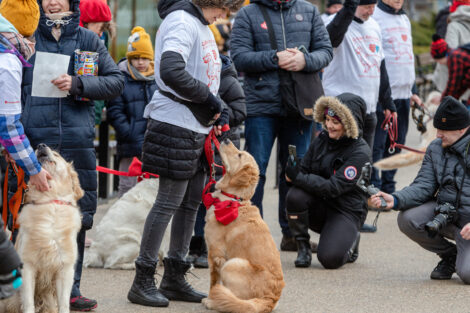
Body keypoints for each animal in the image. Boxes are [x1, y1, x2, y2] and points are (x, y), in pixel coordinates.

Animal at [6, 144, 83, 312]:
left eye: (56, 154)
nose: (41, 146)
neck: (50, 201)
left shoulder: (65, 269)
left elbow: (64, 303)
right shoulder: (27, 266)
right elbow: (28, 303)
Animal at [201, 140, 284, 312]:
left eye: (239, 155)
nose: (225, 139)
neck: (233, 199)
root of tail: (270, 299)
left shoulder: (215, 254)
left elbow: (213, 283)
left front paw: (210, 299)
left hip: (231, 264)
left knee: (235, 301)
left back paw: (216, 302)